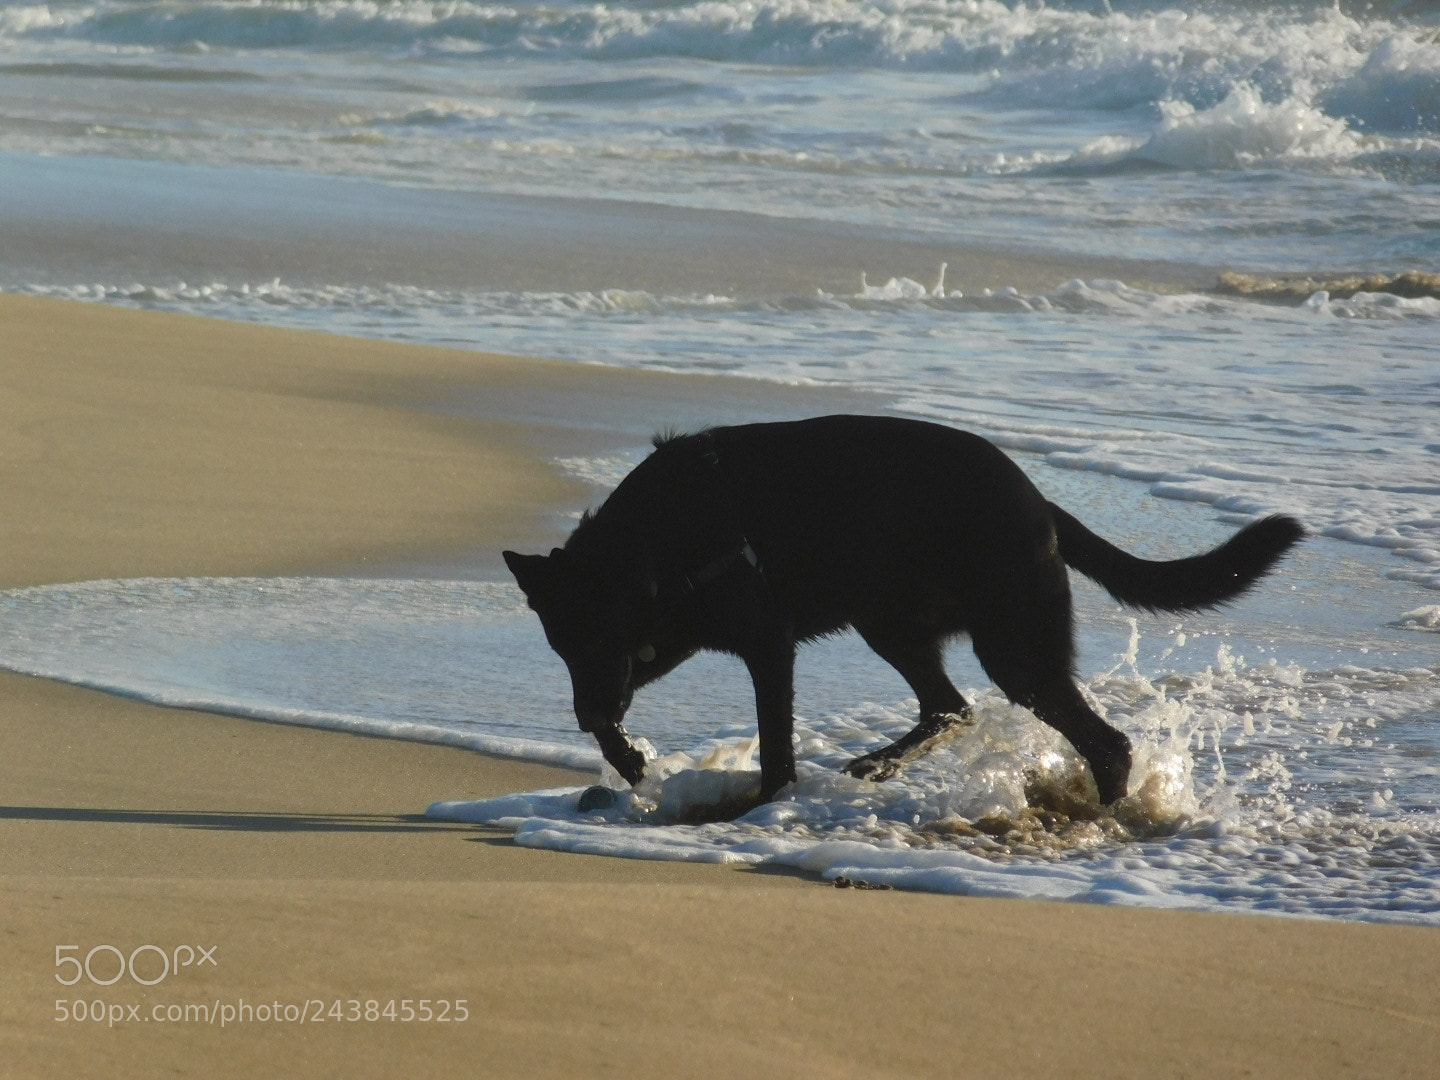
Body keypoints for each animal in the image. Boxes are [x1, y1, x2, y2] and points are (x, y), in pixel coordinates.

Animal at [504, 415, 1303, 807]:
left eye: (594, 634)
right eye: (560, 646)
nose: (582, 712)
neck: (661, 539)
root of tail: (1041, 506)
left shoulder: (765, 644)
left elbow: (777, 742)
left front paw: (769, 801)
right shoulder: (654, 647)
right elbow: (622, 710)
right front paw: (627, 759)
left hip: (1012, 649)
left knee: (1103, 742)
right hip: (892, 623)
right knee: (951, 707)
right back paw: (877, 765)